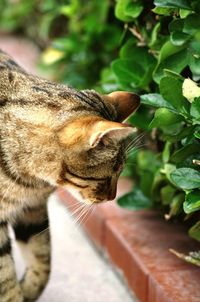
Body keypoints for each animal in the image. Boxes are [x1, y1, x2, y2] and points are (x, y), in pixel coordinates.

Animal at [0, 49, 140, 302]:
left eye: (121, 173)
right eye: (108, 176)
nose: (112, 198)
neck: (29, 179)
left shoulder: (33, 207)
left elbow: (43, 261)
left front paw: (28, 290)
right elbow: (6, 280)